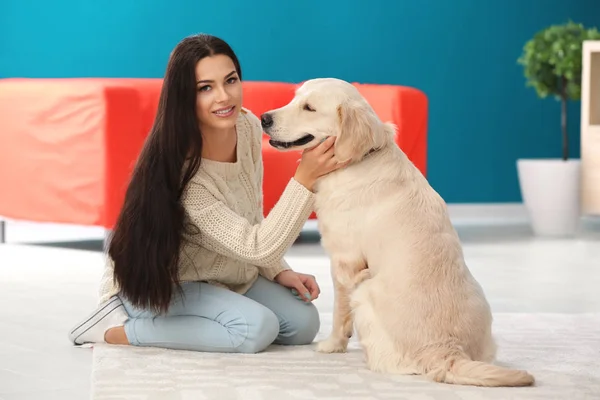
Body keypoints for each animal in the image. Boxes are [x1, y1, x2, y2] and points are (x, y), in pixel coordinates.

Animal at [262, 78, 536, 388]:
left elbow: (339, 312)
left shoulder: (344, 261)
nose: (264, 118)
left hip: (365, 292)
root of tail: (447, 350)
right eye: (293, 99)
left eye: (309, 108)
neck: (361, 159)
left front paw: (332, 345)